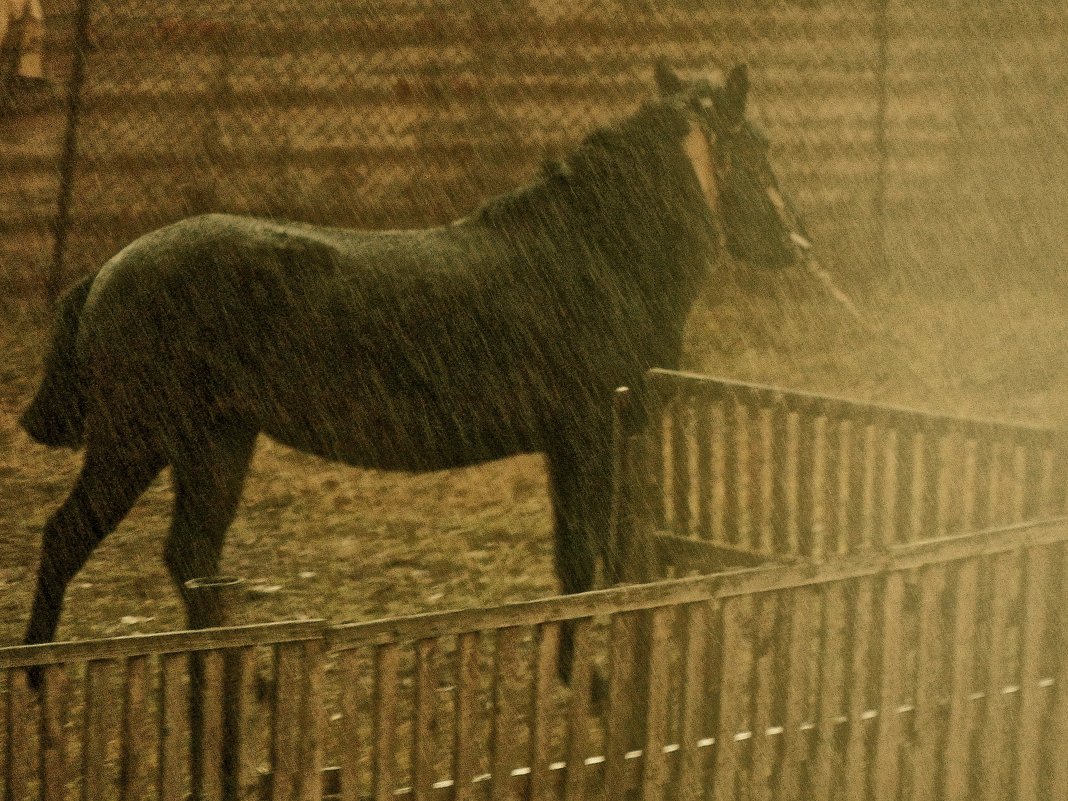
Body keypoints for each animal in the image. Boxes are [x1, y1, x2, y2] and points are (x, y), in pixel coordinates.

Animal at [18, 59, 803, 679]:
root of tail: (112, 267)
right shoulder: (587, 439)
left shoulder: (579, 445)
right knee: (69, 538)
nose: (797, 244)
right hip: (136, 440)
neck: (597, 254)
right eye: (756, 145)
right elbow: (584, 568)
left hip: (215, 444)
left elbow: (587, 564)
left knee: (191, 558)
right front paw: (586, 681)